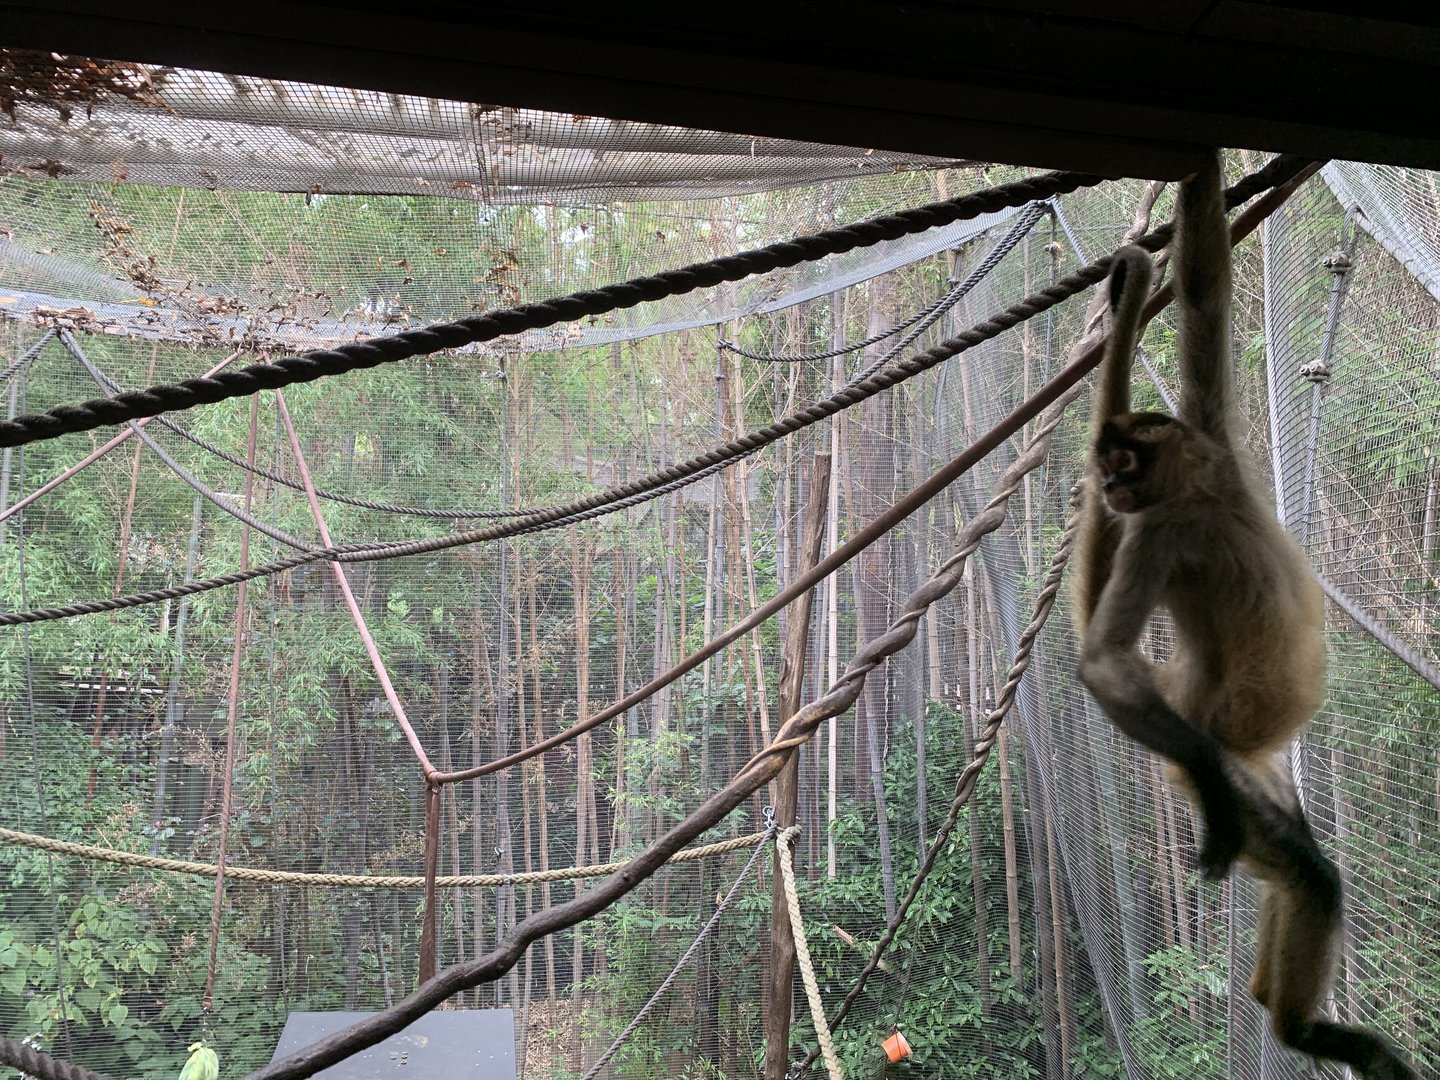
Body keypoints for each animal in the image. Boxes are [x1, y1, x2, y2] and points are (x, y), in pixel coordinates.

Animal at [1071, 152, 1417, 1080]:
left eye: (1124, 459)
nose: (1106, 483)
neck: (1206, 502)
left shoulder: (1212, 441)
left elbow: (1202, 292)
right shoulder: (1157, 531)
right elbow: (1103, 660)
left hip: (1265, 770)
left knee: (1302, 868)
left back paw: (1280, 1009)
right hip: (1216, 757)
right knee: (1305, 870)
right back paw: (1300, 1032)